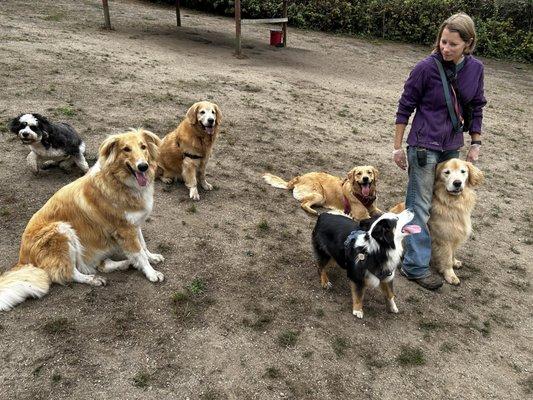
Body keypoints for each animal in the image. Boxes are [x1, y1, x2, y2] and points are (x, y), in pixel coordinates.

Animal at [0, 130, 164, 310]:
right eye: (126, 149)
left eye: (143, 147)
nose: (143, 166)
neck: (117, 181)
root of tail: (22, 258)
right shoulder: (125, 230)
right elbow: (139, 252)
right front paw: (151, 272)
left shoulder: (134, 225)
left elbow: (143, 245)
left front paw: (152, 257)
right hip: (62, 230)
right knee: (69, 273)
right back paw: (93, 279)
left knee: (100, 265)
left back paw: (125, 264)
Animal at [390, 158, 482, 286]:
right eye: (447, 172)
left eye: (463, 171)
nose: (457, 183)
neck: (451, 203)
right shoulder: (444, 238)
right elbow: (447, 259)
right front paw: (450, 275)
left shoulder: (454, 234)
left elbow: (453, 253)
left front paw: (455, 262)